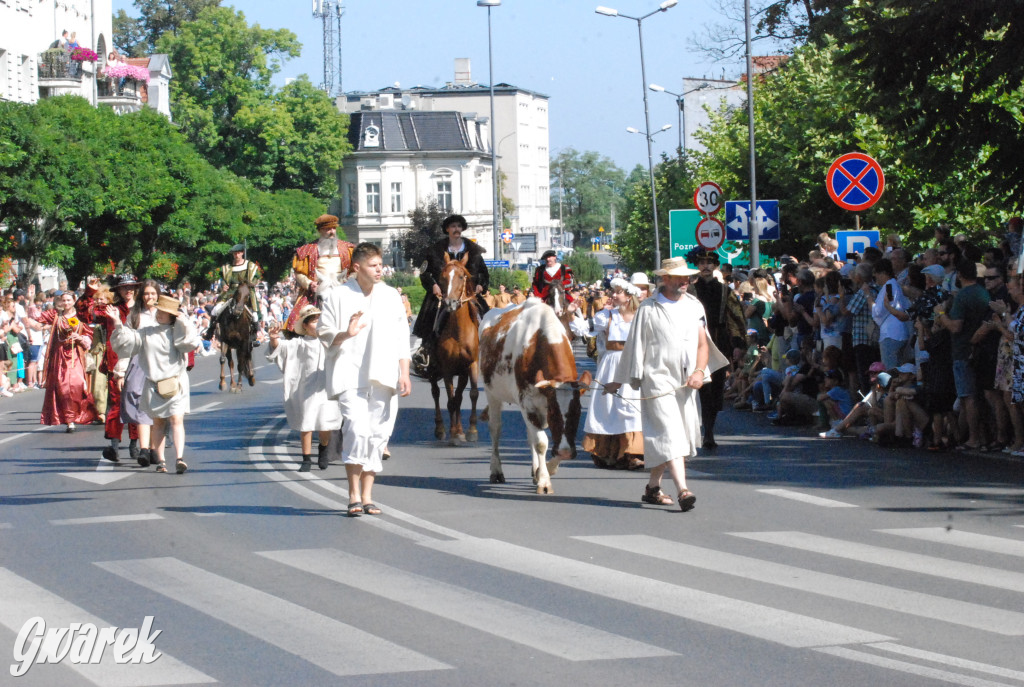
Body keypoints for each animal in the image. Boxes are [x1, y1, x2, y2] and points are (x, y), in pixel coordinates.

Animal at [430, 253, 481, 446]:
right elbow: (451, 400)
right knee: (436, 393)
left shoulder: (470, 365)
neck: (459, 332)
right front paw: (453, 434)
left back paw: (459, 430)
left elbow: (471, 394)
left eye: (461, 276)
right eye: (442, 277)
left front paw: (471, 431)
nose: (449, 303)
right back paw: (441, 429)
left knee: (458, 397)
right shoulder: (447, 369)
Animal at [479, 298, 593, 491]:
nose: (566, 452)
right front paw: (545, 481)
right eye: (553, 411)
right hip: (492, 393)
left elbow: (542, 440)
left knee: (529, 435)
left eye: (578, 411)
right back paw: (496, 471)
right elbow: (541, 442)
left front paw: (545, 470)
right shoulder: (528, 403)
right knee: (495, 429)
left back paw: (535, 471)